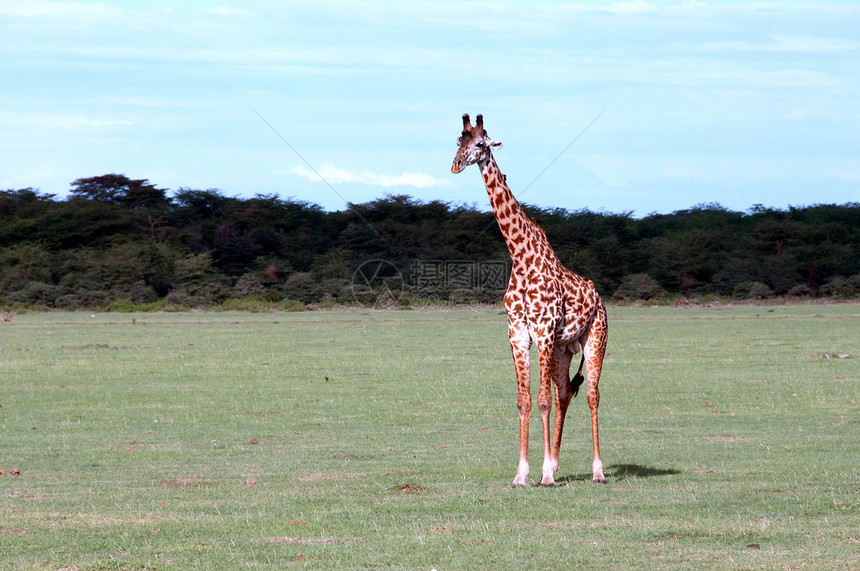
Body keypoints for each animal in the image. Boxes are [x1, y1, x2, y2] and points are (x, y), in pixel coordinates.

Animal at [454, 115, 608, 488]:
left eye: (480, 144)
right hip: (564, 349)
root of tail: (598, 296)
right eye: (457, 142)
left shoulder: (543, 331)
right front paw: (524, 473)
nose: (456, 165)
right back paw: (553, 461)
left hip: (594, 338)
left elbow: (541, 401)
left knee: (592, 395)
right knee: (565, 393)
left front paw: (544, 476)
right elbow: (525, 401)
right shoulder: (519, 334)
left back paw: (596, 471)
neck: (521, 258)